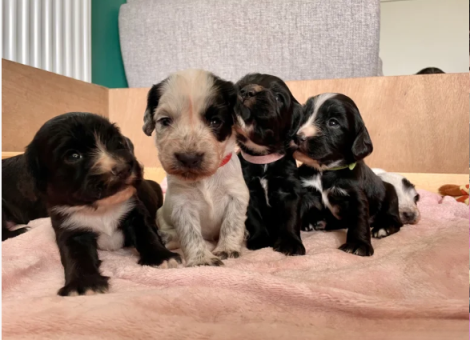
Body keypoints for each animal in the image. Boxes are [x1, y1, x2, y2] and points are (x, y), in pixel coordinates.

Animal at [24, 113, 181, 296]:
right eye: (73, 156)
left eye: (118, 142)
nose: (122, 169)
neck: (101, 208)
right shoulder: (70, 228)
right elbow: (76, 255)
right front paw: (84, 284)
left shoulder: (135, 212)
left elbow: (147, 234)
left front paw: (162, 257)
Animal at [142, 68, 250, 266]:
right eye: (165, 121)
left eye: (215, 121)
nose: (188, 158)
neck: (205, 178)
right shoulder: (182, 205)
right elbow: (191, 233)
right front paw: (201, 259)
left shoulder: (237, 196)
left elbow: (232, 223)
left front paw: (227, 248)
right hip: (162, 216)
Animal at [234, 73, 304, 256]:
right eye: (240, 85)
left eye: (279, 97)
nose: (247, 91)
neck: (262, 158)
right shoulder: (248, 192)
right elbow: (254, 219)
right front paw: (259, 240)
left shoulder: (290, 191)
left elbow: (290, 218)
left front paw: (291, 243)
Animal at [292, 93, 402, 255]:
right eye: (303, 116)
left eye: (333, 122)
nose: (298, 137)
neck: (324, 170)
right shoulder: (305, 190)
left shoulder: (355, 195)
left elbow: (359, 220)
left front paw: (358, 244)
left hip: (391, 195)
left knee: (395, 219)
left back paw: (383, 228)